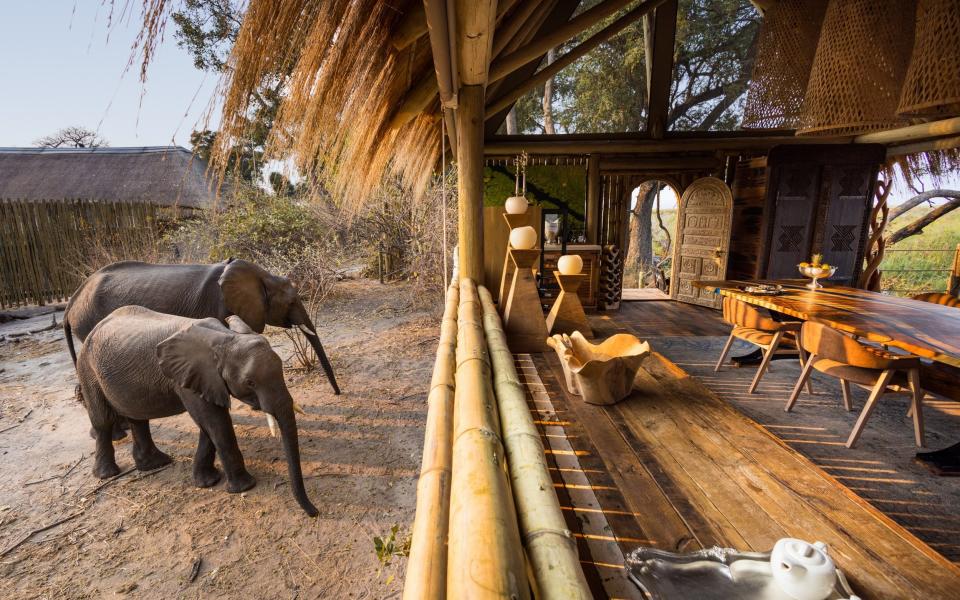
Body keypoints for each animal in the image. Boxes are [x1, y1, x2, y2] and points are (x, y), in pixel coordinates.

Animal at [64, 258, 342, 394]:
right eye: (292, 301)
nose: (338, 393)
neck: (261, 275)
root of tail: (72, 301)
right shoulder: (217, 306)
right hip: (89, 322)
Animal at [78, 304, 318, 516]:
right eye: (250, 382)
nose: (315, 512)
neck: (225, 338)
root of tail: (95, 328)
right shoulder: (185, 376)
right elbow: (215, 421)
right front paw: (245, 487)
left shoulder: (203, 379)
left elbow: (208, 424)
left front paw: (208, 482)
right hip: (87, 368)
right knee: (102, 422)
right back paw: (108, 474)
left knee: (138, 418)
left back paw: (155, 464)